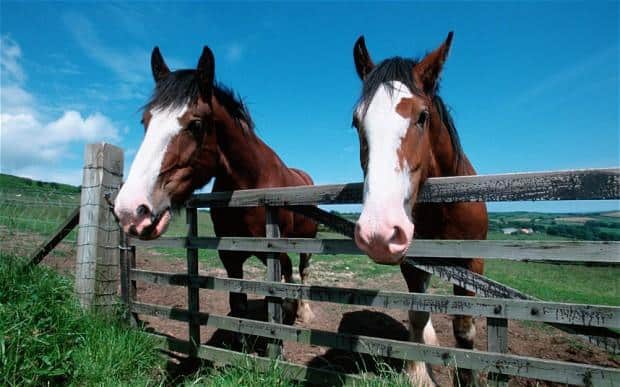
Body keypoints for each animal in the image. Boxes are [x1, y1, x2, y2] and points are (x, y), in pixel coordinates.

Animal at [114, 47, 318, 328]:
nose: (131, 210)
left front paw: (289, 313)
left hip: (308, 240)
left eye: (196, 124)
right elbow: (239, 307)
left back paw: (305, 311)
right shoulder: (230, 258)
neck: (251, 188)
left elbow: (280, 291)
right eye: (145, 121)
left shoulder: (275, 253)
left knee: (303, 269)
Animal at [352, 31, 486, 386]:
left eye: (422, 117)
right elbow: (416, 313)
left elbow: (464, 328)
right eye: (356, 122)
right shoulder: (412, 263)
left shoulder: (473, 264)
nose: (378, 233)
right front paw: (418, 373)